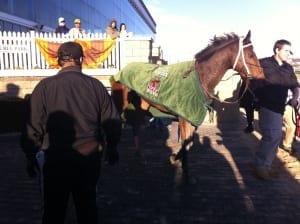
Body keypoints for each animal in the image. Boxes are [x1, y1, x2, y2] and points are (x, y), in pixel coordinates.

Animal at [111, 29, 264, 177]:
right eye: (251, 55)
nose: (262, 76)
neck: (201, 77)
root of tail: (122, 70)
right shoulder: (184, 118)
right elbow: (186, 142)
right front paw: (185, 171)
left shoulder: (192, 117)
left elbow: (189, 142)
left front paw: (176, 159)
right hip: (121, 104)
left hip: (141, 105)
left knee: (136, 126)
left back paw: (139, 155)